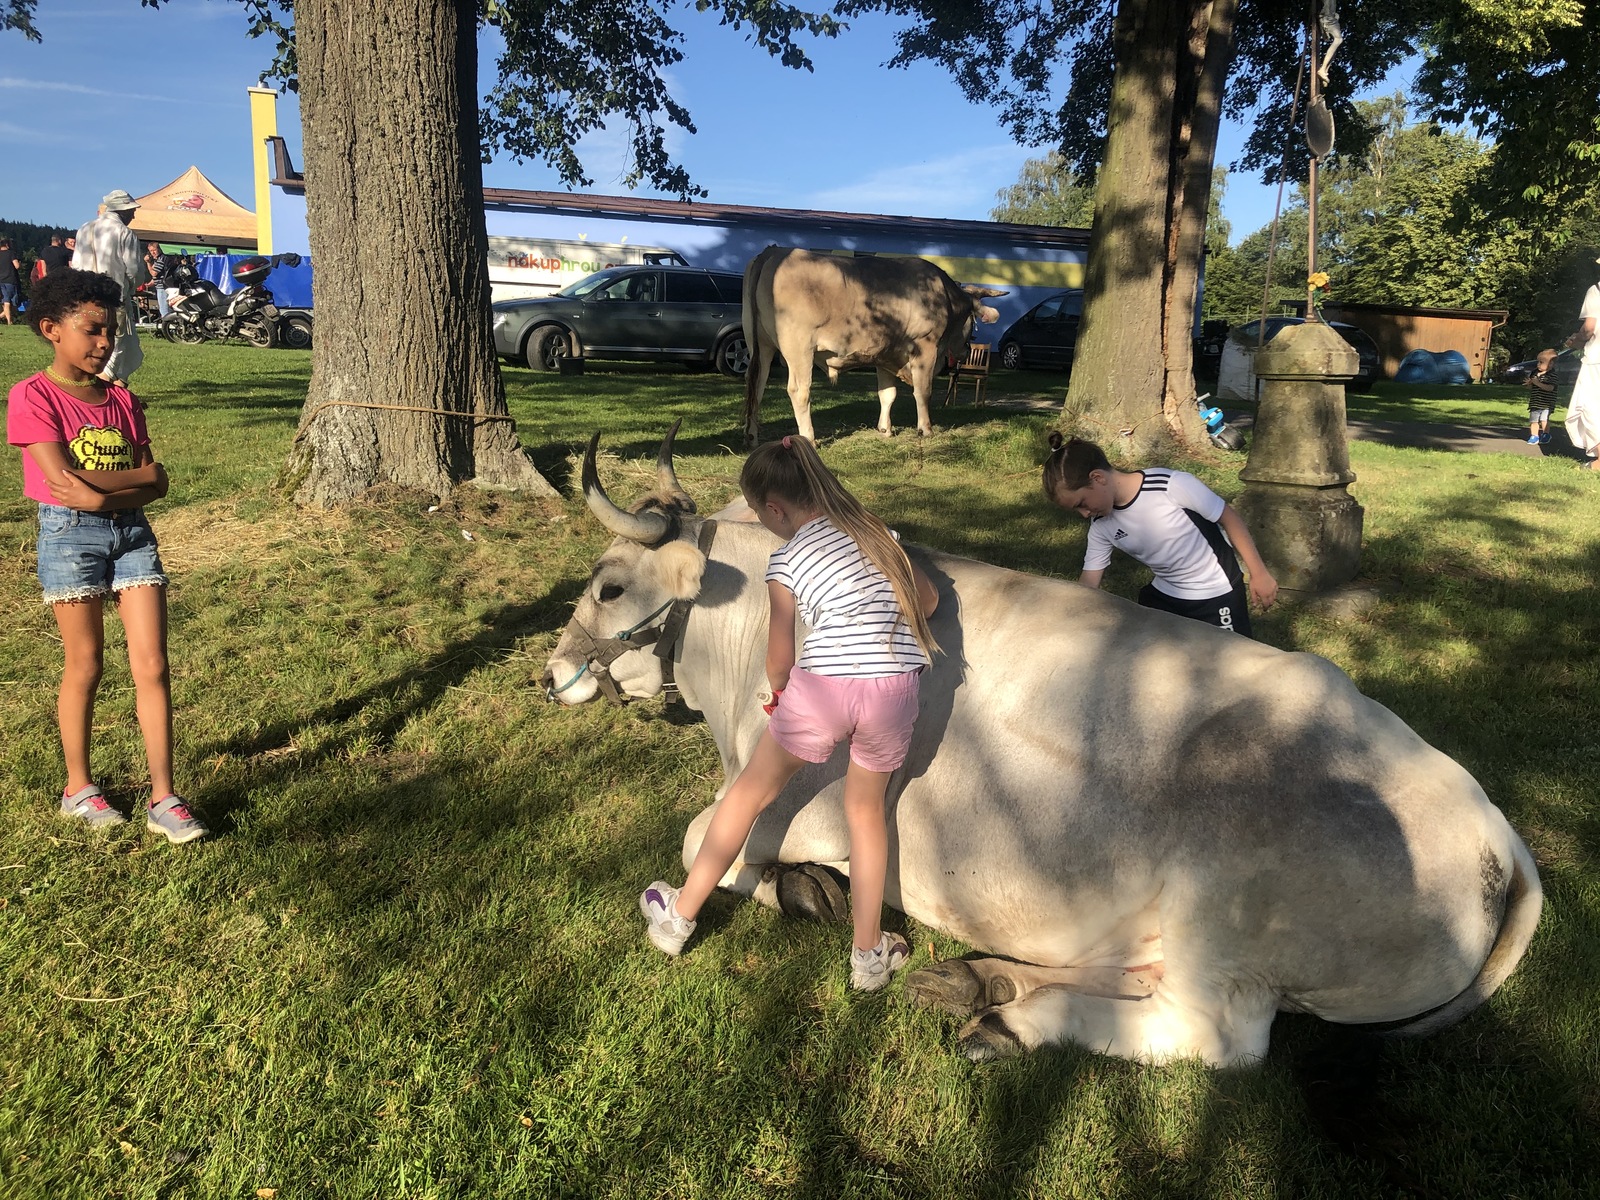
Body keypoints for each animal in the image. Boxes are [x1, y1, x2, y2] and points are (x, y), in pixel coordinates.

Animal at [544, 428, 1542, 1068]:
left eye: (606, 585)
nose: (551, 673)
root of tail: (1494, 829)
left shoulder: (799, 794)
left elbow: (701, 842)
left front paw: (796, 890)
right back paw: (981, 980)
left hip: (1227, 931)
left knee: (1210, 1038)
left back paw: (1008, 1022)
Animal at [742, 244, 1004, 448]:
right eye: (973, 320)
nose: (967, 350)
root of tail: (775, 251)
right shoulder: (925, 346)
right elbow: (923, 390)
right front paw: (926, 429)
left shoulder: (884, 354)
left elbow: (887, 393)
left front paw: (885, 430)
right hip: (799, 347)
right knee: (798, 390)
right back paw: (809, 439)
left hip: (760, 344)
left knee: (757, 385)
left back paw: (752, 437)